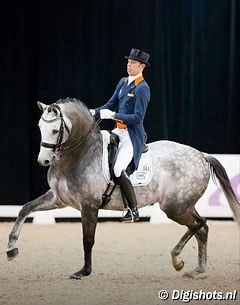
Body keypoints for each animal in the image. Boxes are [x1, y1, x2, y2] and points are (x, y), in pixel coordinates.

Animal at [6, 97, 240, 278]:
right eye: (40, 127)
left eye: (55, 130)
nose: (43, 161)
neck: (79, 154)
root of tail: (201, 155)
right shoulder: (58, 198)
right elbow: (25, 208)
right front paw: (11, 248)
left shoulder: (89, 205)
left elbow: (87, 239)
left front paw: (84, 271)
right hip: (183, 205)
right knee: (202, 228)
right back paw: (196, 269)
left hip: (175, 207)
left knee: (199, 224)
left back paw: (178, 260)